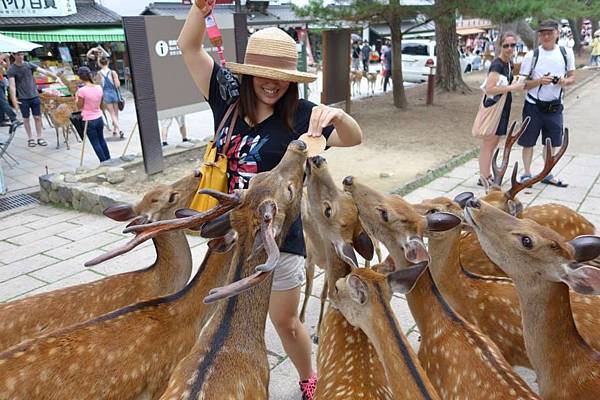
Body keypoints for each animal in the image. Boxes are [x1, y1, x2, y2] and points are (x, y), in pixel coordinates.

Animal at [300, 155, 394, 398]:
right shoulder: (309, 261)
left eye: (328, 210)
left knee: (377, 252)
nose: (318, 159)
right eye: (345, 195)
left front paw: (316, 333)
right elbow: (310, 290)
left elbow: (322, 294)